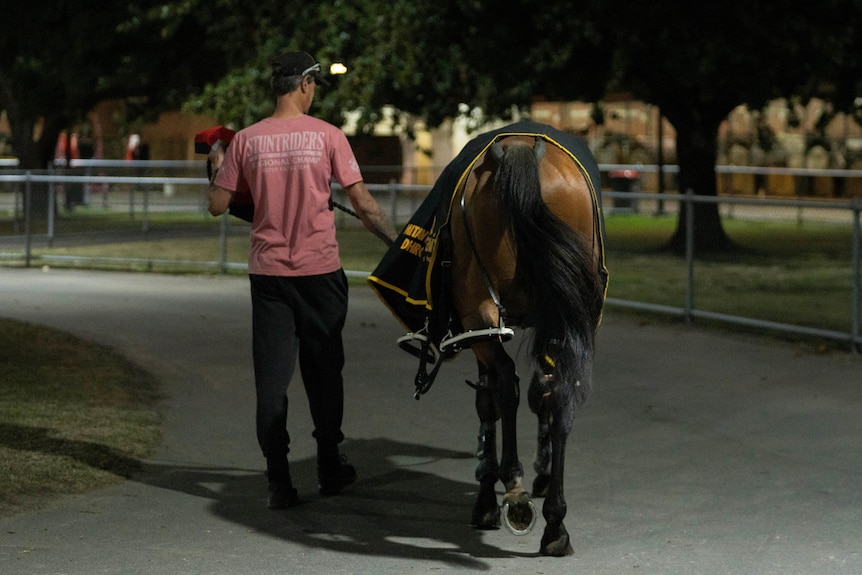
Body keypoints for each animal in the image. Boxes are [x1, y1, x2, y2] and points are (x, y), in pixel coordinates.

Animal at [446, 126, 608, 560]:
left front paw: (489, 492)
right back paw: (554, 523)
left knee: (504, 384)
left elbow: (490, 400)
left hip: (479, 311)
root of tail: (519, 150)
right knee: (559, 392)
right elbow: (541, 394)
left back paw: (516, 492)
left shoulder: (481, 330)